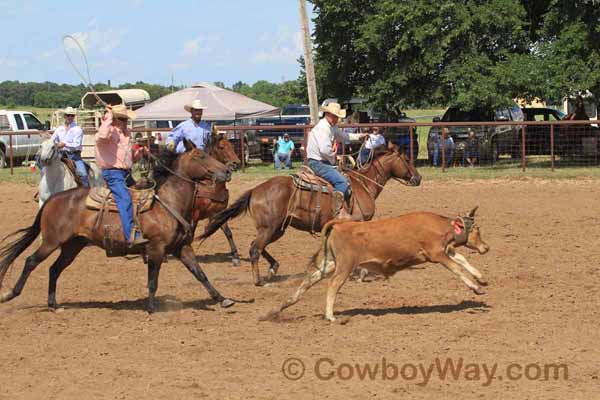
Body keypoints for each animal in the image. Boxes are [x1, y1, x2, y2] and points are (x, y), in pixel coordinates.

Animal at [0, 139, 234, 314]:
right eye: (200, 156)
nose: (227, 171)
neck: (167, 204)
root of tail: (53, 199)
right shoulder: (156, 249)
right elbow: (153, 281)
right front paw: (151, 308)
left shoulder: (182, 248)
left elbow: (200, 273)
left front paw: (222, 298)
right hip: (51, 241)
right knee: (31, 261)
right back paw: (11, 294)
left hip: (73, 245)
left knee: (54, 269)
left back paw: (53, 304)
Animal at [200, 145, 422, 286]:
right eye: (407, 159)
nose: (418, 178)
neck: (363, 184)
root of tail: (255, 190)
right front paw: (362, 273)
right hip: (270, 228)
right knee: (255, 249)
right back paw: (259, 280)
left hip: (277, 228)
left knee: (258, 247)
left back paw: (273, 268)